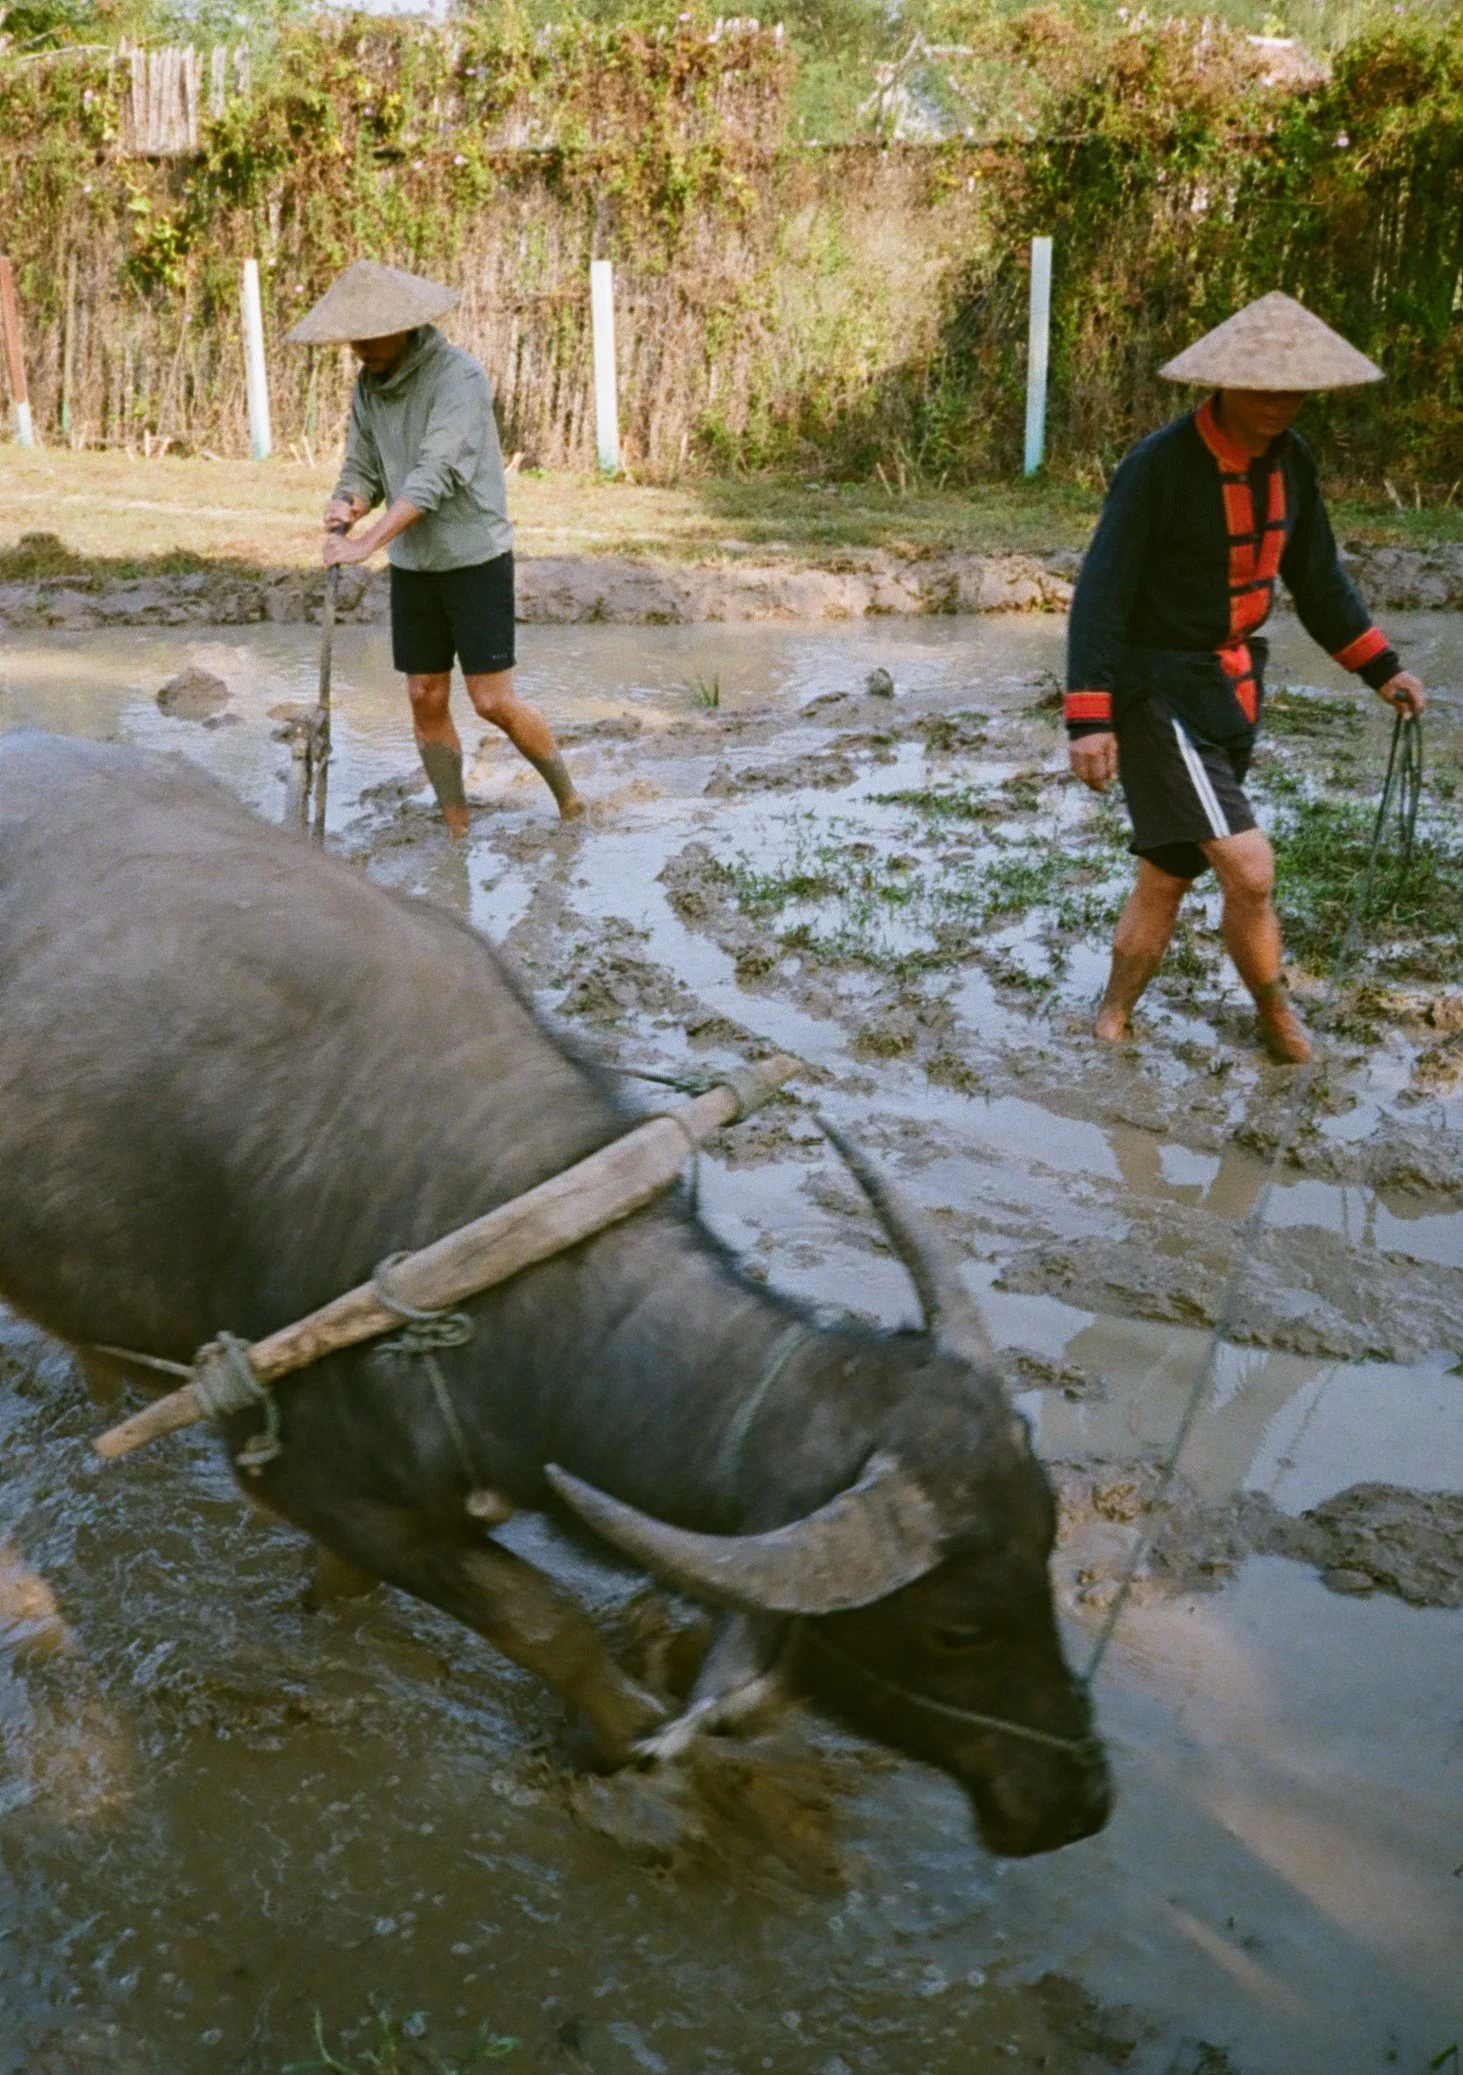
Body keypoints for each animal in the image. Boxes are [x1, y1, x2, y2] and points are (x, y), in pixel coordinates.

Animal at [0, 731, 1110, 1857]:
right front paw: (642, 1752)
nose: (1077, 1800)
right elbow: (549, 1621)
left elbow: (363, 1586)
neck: (490, 1235)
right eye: (955, 1627)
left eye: (1047, 1550)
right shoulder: (307, 1478)